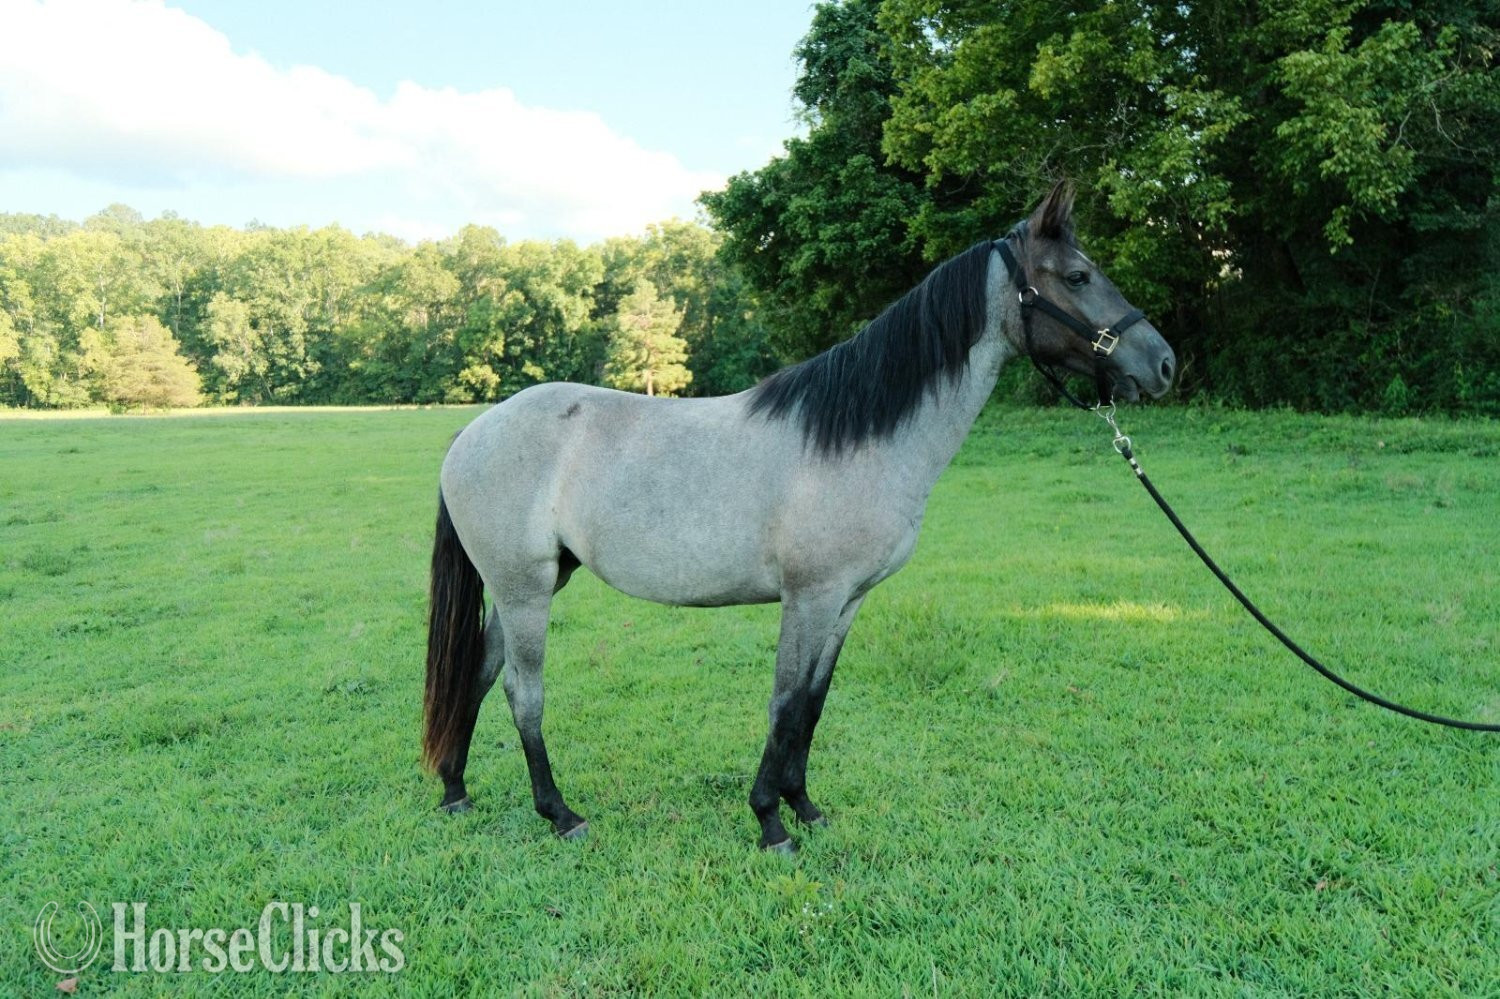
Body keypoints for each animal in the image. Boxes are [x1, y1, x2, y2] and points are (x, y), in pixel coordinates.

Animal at [421, 183, 1177, 852]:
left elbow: (813, 702)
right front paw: (769, 821)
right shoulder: (808, 596)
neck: (858, 436)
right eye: (1078, 276)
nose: (1164, 363)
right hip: (526, 591)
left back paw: (456, 790)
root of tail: (469, 435)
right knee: (523, 691)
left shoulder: (846, 602)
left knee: (478, 673)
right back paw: (560, 813)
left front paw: (804, 806)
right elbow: (784, 702)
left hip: (530, 585)